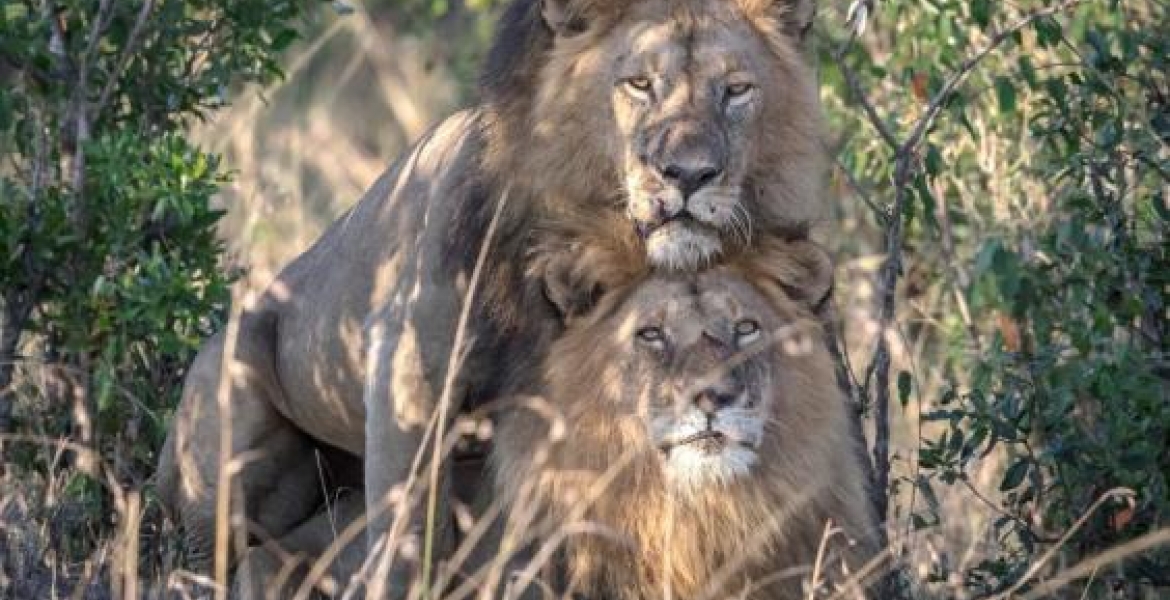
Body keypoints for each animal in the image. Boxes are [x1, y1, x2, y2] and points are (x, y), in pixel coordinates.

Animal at [156, 0, 829, 593]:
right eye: (640, 85)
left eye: (736, 91)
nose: (688, 175)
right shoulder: (407, 381)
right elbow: (404, 547)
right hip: (226, 419)